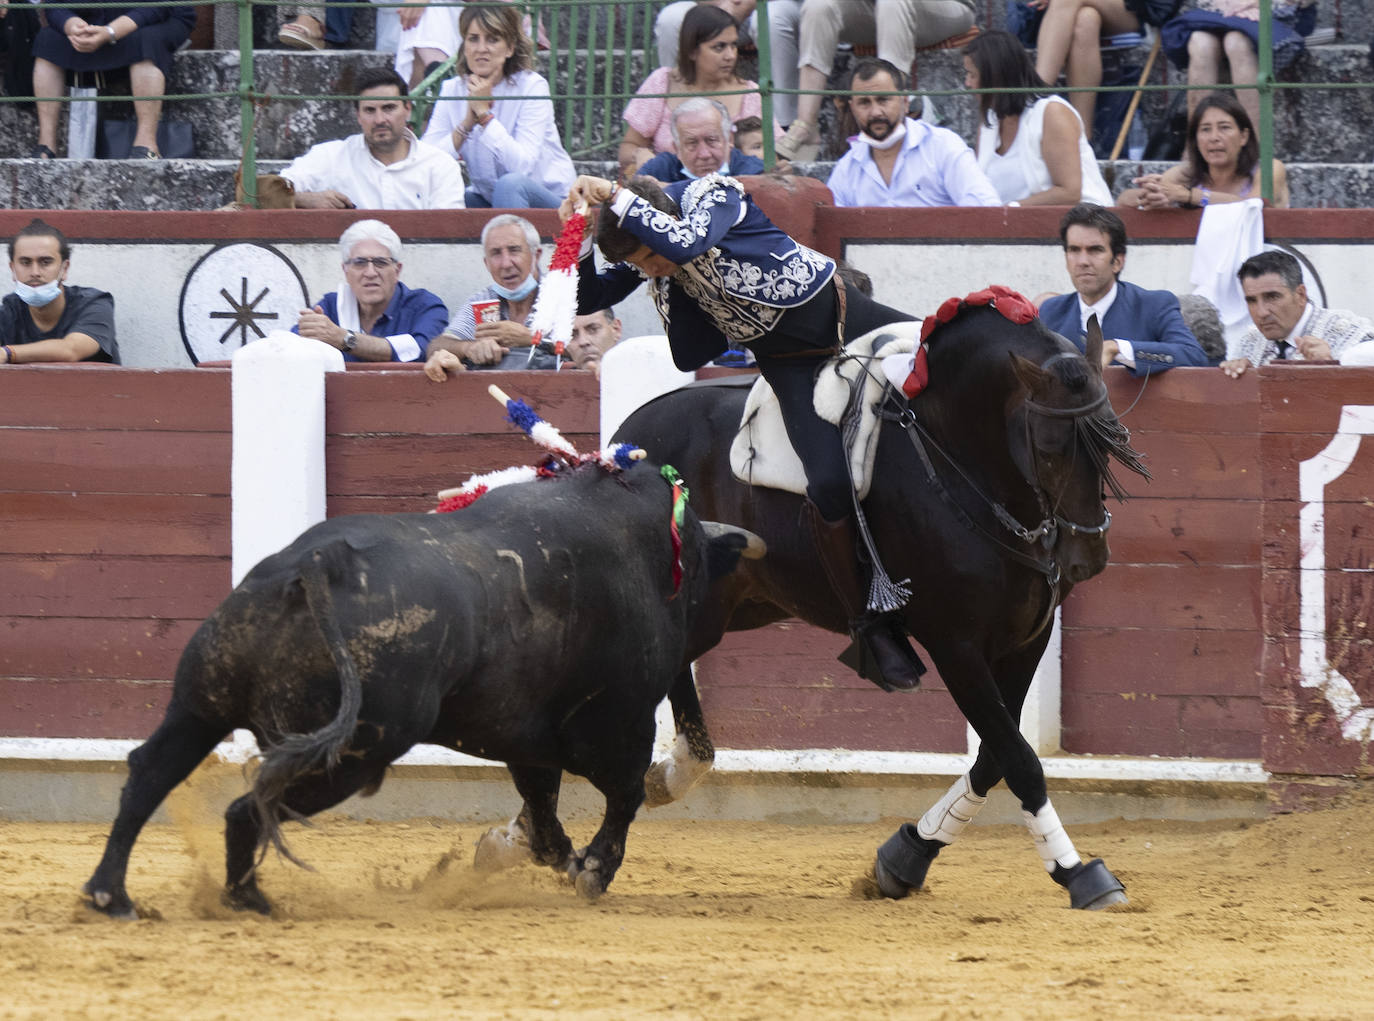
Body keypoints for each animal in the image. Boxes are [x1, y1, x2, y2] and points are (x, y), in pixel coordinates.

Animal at [85, 464, 763, 917]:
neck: (653, 552)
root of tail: (314, 564)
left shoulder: (525, 734)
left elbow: (542, 802)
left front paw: (545, 854)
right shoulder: (616, 723)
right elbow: (622, 796)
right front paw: (591, 870)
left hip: (201, 702)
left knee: (149, 773)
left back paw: (111, 896)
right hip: (353, 755)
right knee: (247, 806)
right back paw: (246, 897)